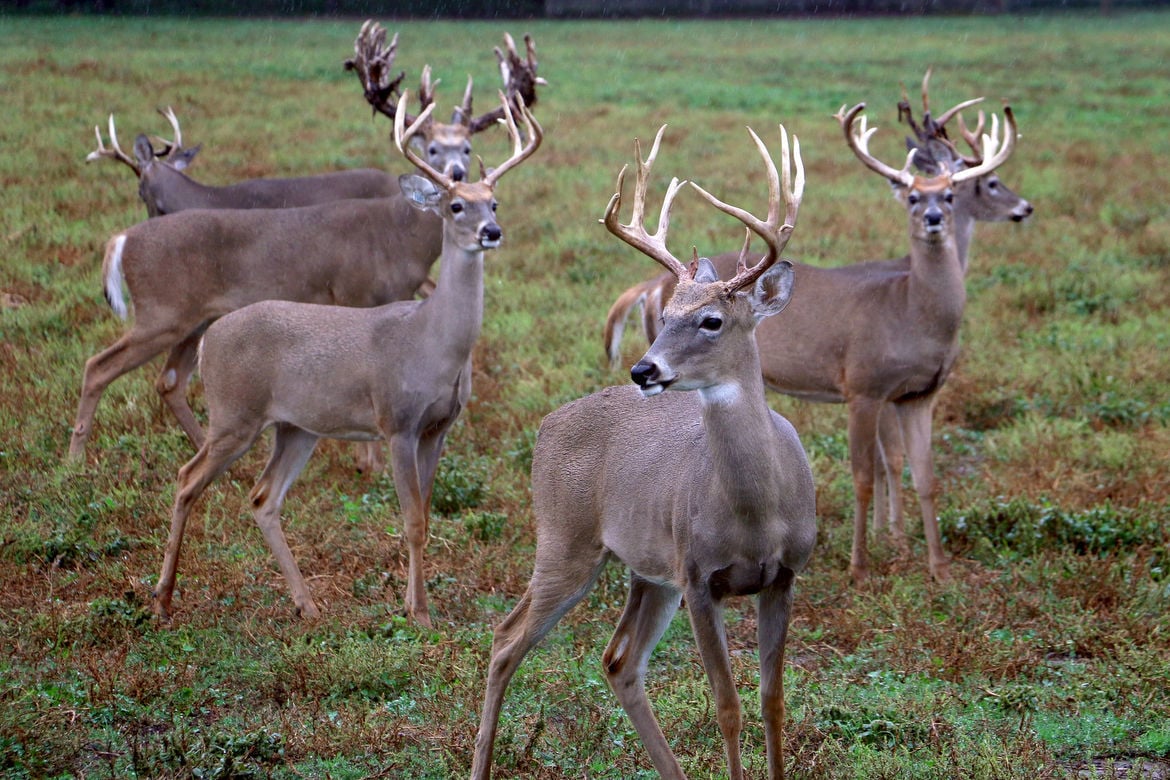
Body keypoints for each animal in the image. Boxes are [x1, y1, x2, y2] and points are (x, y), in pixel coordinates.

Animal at [150, 92, 542, 626]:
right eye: (456, 205)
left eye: (494, 202)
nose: (492, 231)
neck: (432, 344)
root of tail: (211, 339)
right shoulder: (396, 420)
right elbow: (412, 519)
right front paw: (421, 615)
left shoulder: (439, 428)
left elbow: (426, 511)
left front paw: (411, 602)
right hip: (234, 413)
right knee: (187, 479)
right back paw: (162, 600)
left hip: (297, 427)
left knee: (263, 497)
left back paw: (307, 604)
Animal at [470, 122, 819, 780]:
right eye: (667, 313)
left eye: (711, 320)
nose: (643, 369)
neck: (757, 512)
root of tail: (547, 424)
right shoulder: (699, 574)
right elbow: (728, 706)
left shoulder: (783, 575)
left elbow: (773, 702)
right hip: (567, 540)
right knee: (506, 640)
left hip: (646, 571)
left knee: (618, 660)